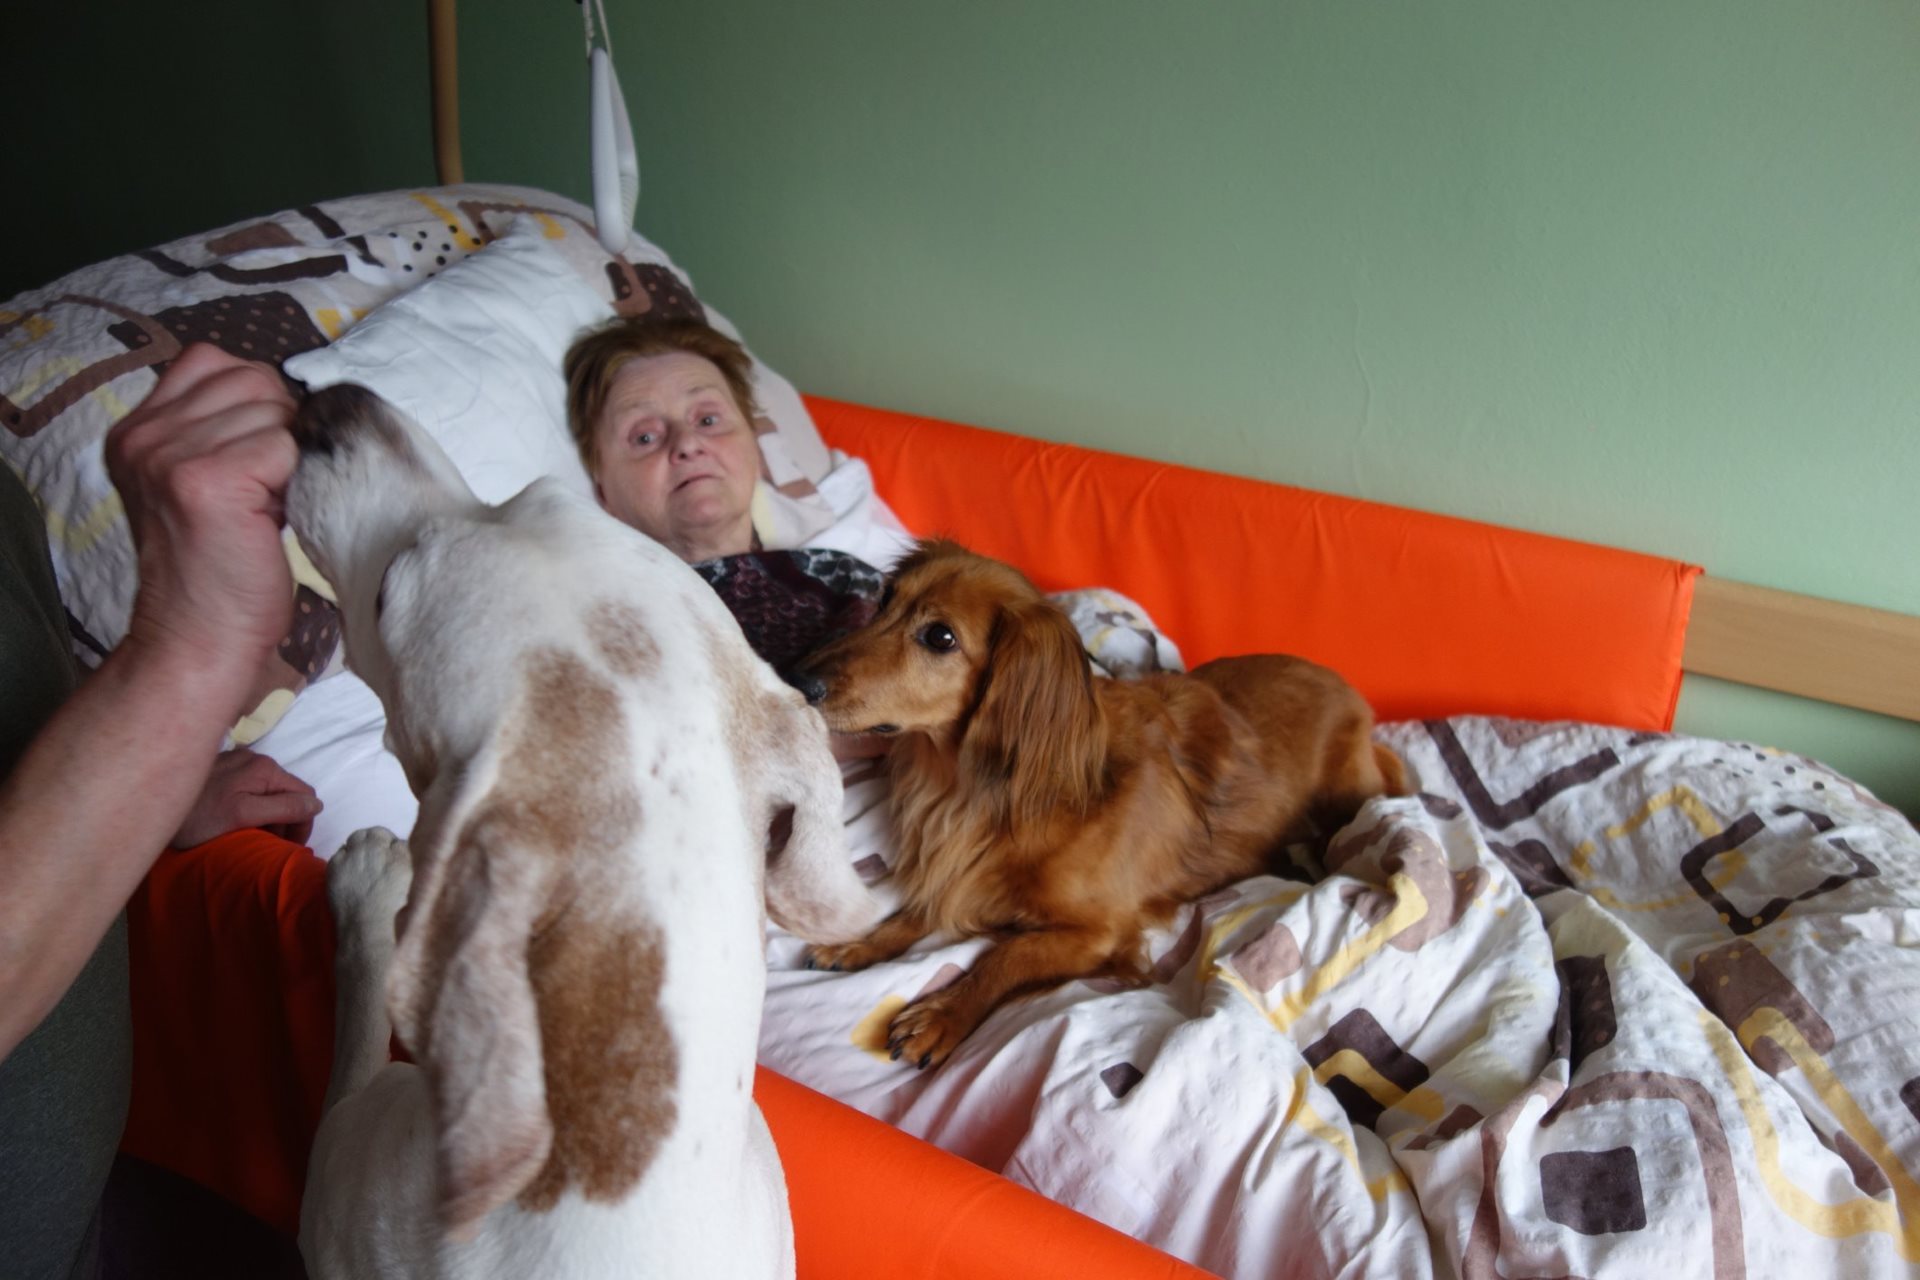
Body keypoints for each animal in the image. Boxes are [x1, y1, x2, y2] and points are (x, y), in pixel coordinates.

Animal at [286, 384, 883, 1279]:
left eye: (390, 590)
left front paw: (368, 889)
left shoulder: (336, 1165)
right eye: (526, 493)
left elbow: (359, 1014)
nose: (330, 404)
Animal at [790, 540, 1409, 1070]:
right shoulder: (959, 868)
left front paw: (944, 1014)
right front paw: (862, 942)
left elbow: (1004, 957)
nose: (797, 679)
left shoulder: (1098, 932)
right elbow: (920, 909)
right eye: (885, 600)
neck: (981, 793)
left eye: (940, 637)